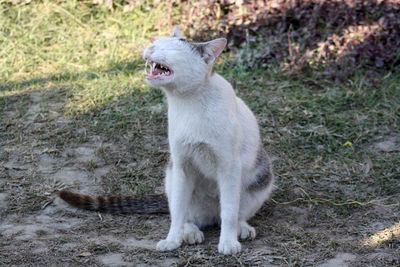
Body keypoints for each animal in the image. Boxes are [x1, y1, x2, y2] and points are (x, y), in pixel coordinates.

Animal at [141, 27, 276, 255]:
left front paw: (228, 242)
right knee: (185, 214)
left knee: (235, 214)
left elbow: (229, 212)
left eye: (168, 49)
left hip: (261, 179)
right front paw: (172, 239)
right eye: (154, 43)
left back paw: (241, 229)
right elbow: (178, 212)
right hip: (172, 178)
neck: (189, 103)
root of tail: (211, 214)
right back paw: (190, 232)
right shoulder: (182, 165)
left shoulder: (229, 166)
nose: (148, 49)